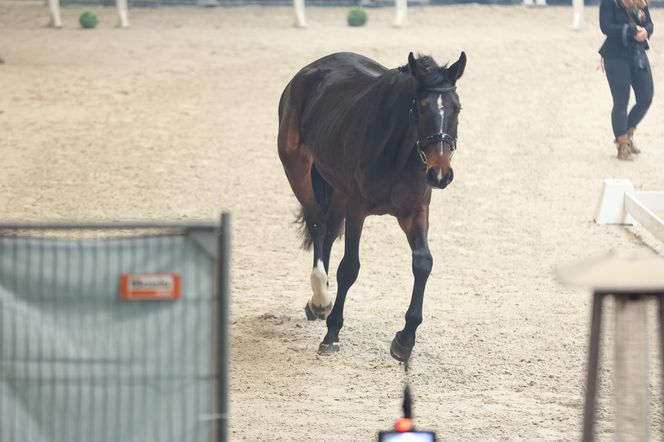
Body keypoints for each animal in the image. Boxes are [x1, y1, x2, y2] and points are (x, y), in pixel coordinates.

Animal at [278, 51, 464, 362]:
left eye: (457, 108)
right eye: (421, 108)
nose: (440, 174)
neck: (398, 151)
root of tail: (314, 67)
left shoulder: (415, 211)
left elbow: (423, 263)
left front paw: (405, 339)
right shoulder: (358, 207)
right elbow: (349, 268)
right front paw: (332, 334)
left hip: (338, 191)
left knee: (329, 230)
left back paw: (319, 301)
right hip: (297, 168)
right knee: (317, 223)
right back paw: (321, 298)